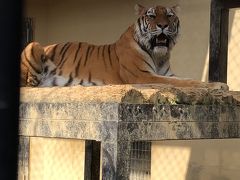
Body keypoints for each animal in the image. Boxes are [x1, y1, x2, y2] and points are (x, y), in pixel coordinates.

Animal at [20, 3, 229, 89]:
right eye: (152, 16)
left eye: (169, 16)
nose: (163, 25)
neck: (159, 55)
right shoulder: (142, 76)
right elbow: (184, 82)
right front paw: (217, 85)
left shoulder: (166, 74)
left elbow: (184, 78)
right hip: (33, 46)